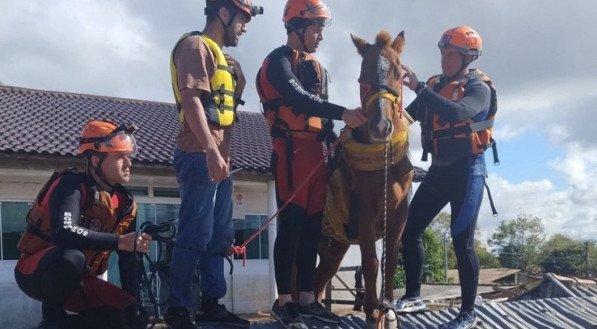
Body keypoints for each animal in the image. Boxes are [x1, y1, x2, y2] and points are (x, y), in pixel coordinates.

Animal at [314, 30, 412, 326]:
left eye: (398, 72)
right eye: (362, 76)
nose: (381, 127)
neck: (383, 163)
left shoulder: (399, 213)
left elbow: (390, 259)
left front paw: (388, 309)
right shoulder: (366, 212)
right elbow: (371, 262)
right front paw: (371, 311)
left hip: (334, 249)